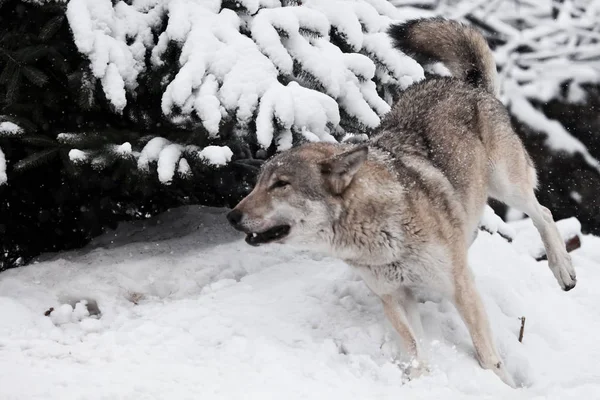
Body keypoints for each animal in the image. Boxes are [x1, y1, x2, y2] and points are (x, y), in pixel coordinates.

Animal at [226, 16, 576, 388]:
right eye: (256, 184)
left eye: (281, 185)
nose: (232, 216)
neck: (379, 234)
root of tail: (465, 84)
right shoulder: (393, 296)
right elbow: (414, 346)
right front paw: (417, 380)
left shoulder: (460, 287)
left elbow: (487, 355)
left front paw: (503, 386)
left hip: (507, 185)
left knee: (544, 212)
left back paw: (563, 270)